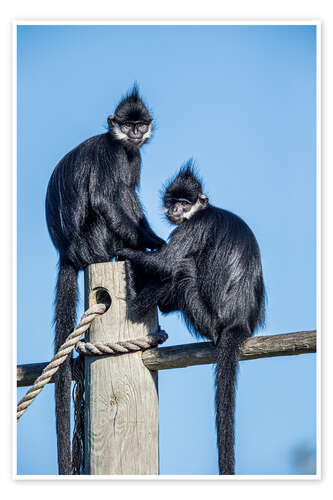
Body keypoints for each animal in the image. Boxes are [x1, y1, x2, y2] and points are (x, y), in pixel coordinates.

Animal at [44, 87, 164, 476]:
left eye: (140, 124)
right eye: (126, 124)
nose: (135, 133)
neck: (121, 144)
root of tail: (69, 252)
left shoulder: (132, 154)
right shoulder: (113, 154)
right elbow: (105, 198)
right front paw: (157, 244)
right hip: (96, 239)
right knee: (113, 198)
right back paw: (130, 248)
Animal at [116, 162, 264, 474]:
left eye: (185, 203)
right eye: (172, 201)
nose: (175, 210)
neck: (203, 211)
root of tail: (239, 323)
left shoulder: (194, 225)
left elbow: (166, 264)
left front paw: (127, 252)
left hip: (207, 319)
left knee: (182, 269)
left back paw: (136, 299)